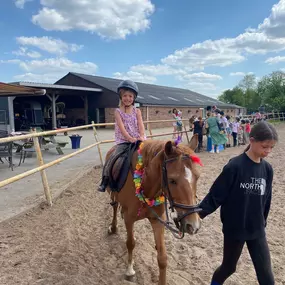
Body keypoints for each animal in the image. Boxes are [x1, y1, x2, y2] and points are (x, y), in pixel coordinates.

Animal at [103, 136, 200, 284]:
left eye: (197, 177)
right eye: (172, 180)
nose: (192, 226)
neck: (145, 186)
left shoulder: (157, 220)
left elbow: (162, 258)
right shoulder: (129, 219)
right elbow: (130, 243)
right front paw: (129, 270)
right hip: (112, 193)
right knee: (114, 206)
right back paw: (113, 227)